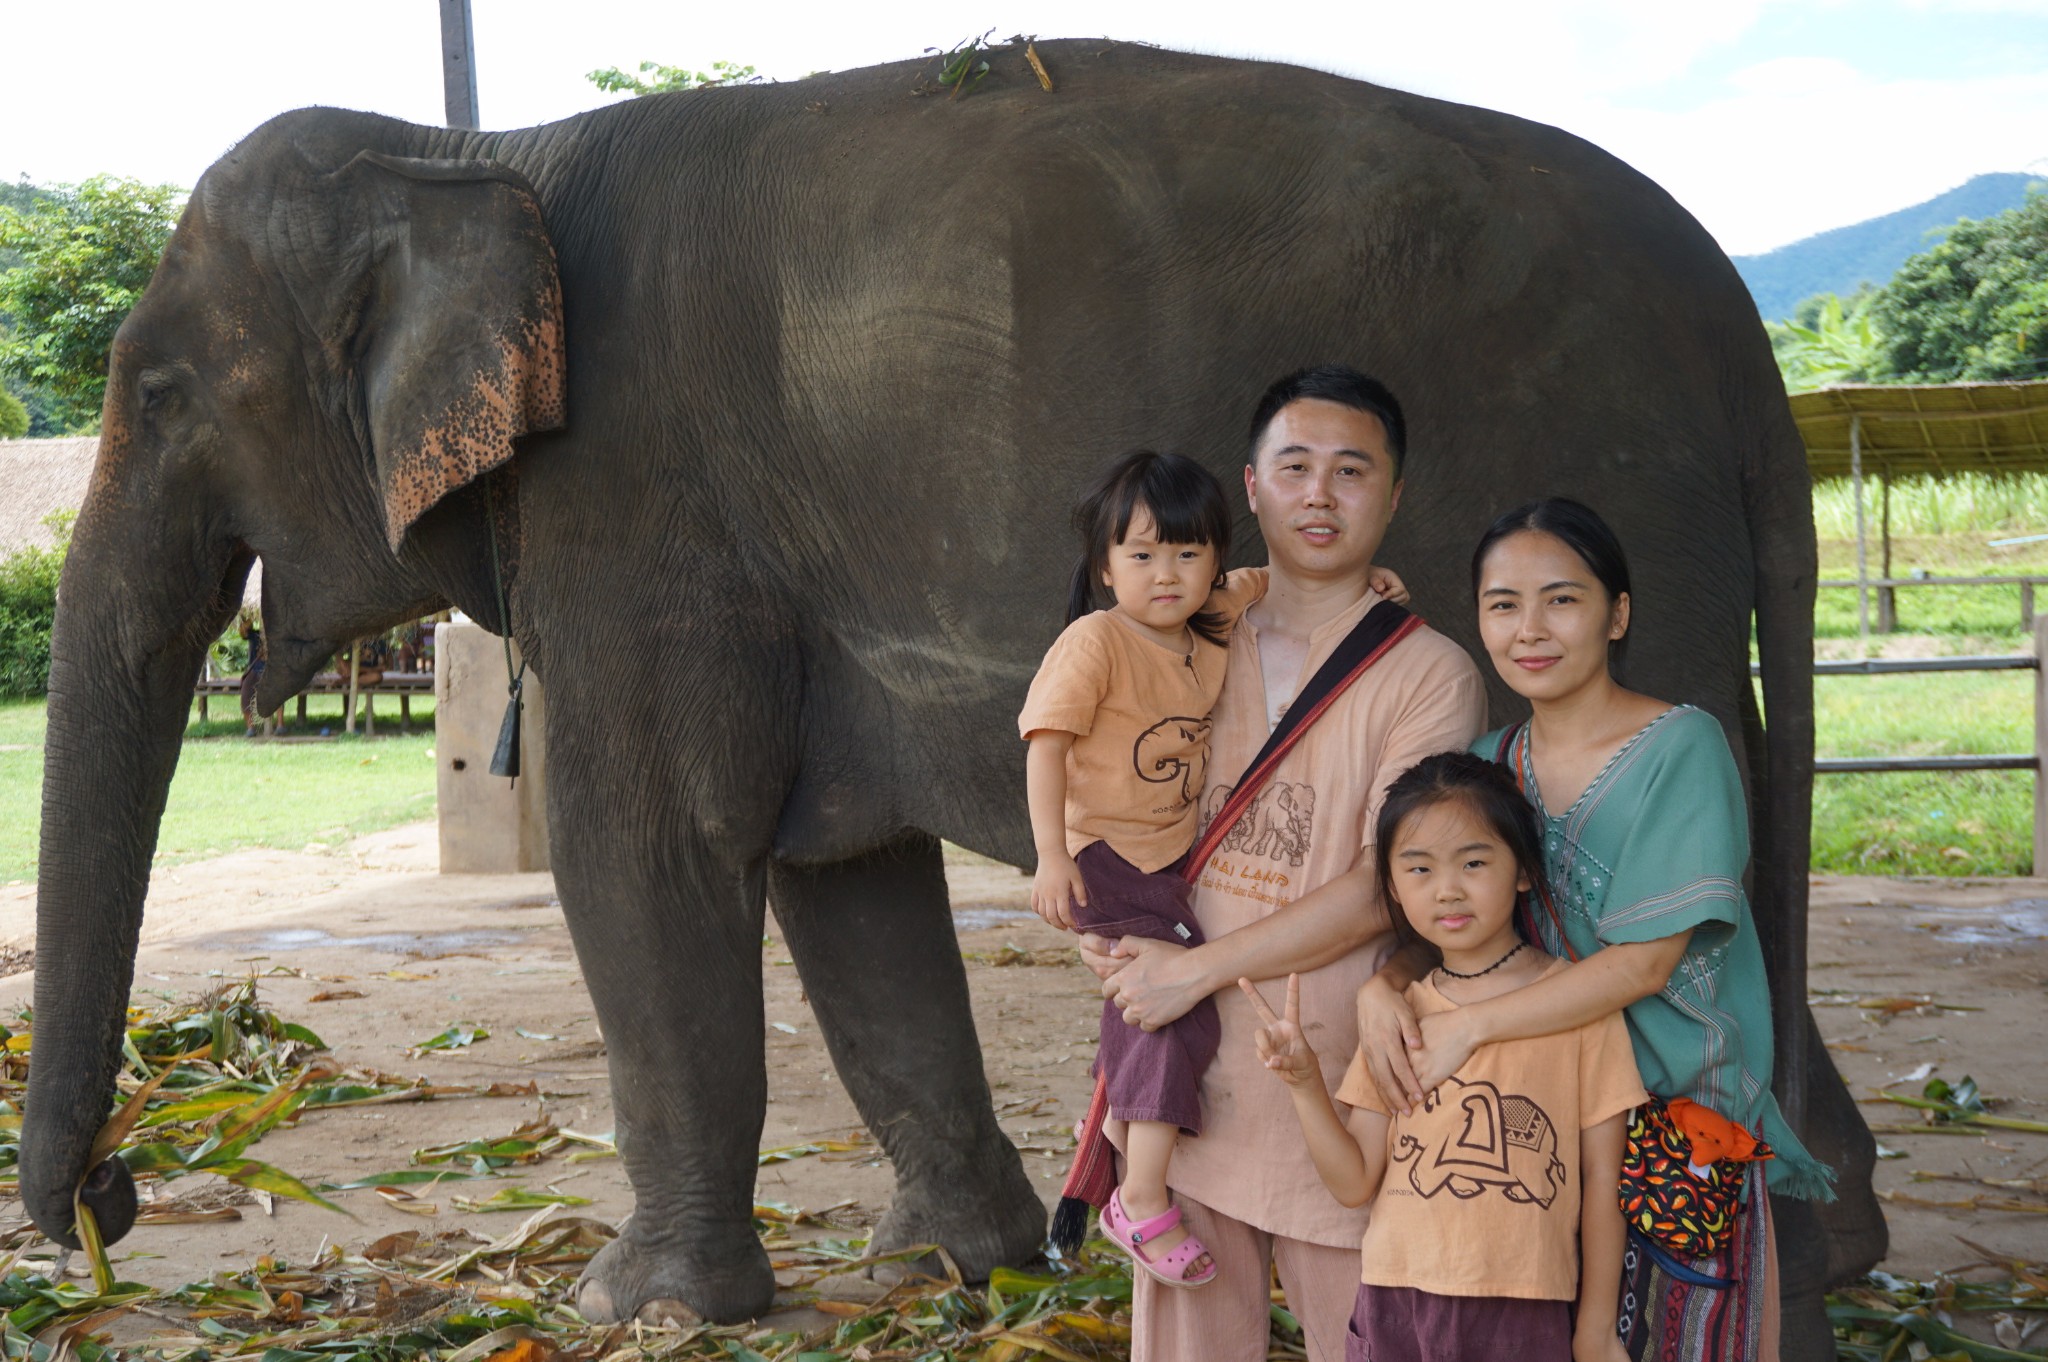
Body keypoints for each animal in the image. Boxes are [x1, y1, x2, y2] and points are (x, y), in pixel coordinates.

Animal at [28, 37, 1884, 1343]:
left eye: (163, 389)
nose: (110, 1196)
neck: (484, 156)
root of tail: (1740, 336)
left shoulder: (638, 503)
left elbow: (647, 849)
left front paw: (635, 1309)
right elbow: (835, 874)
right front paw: (960, 1264)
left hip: (1608, 519)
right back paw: (1834, 1253)